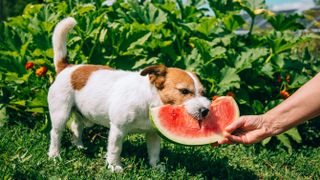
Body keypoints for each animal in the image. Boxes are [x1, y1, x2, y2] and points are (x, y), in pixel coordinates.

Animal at [47, 17, 211, 173]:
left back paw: (79, 146)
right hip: (61, 113)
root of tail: (66, 67)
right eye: (184, 91)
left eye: (203, 92)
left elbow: (154, 152)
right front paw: (114, 166)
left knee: (76, 126)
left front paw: (155, 166)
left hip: (83, 113)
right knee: (55, 133)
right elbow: (115, 149)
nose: (205, 111)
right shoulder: (118, 130)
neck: (148, 101)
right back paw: (55, 155)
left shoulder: (153, 134)